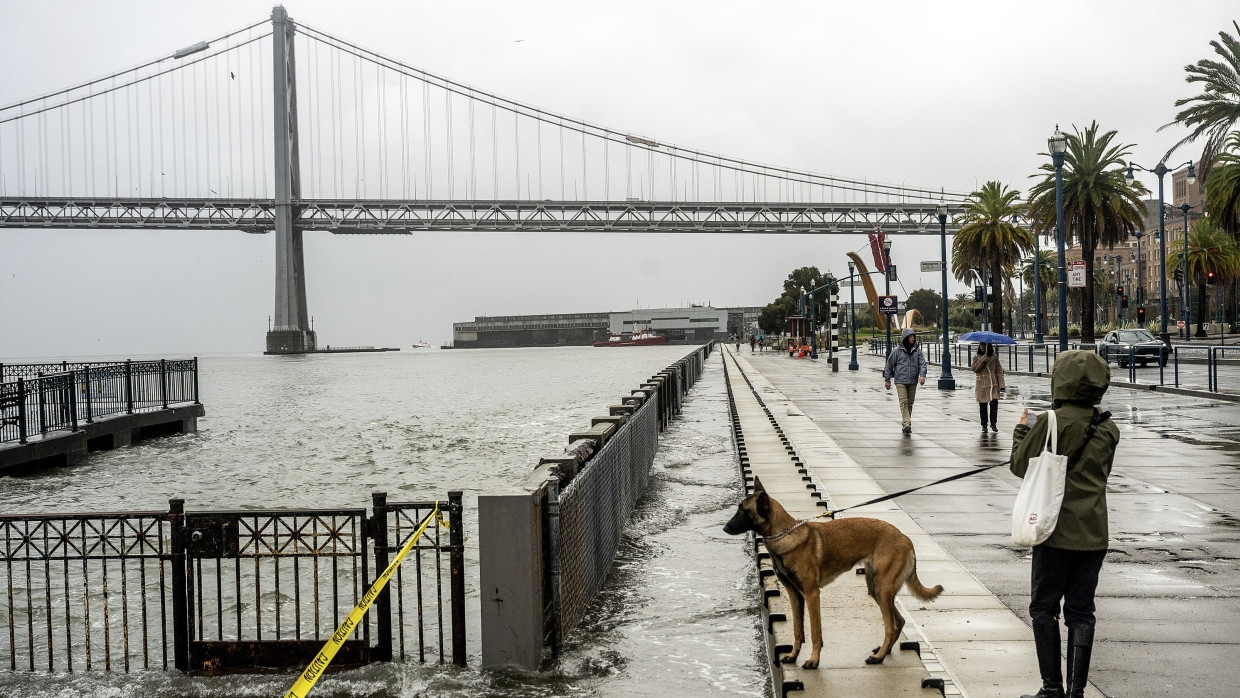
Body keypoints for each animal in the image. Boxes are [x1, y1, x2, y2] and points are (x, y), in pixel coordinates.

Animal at [724, 478, 942, 669]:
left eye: (742, 510)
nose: (725, 527)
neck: (785, 534)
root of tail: (905, 538)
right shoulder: (795, 595)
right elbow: (797, 630)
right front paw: (793, 655)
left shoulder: (812, 594)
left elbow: (814, 632)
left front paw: (813, 661)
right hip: (876, 589)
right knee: (899, 621)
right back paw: (884, 650)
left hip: (882, 588)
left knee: (891, 626)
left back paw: (879, 657)